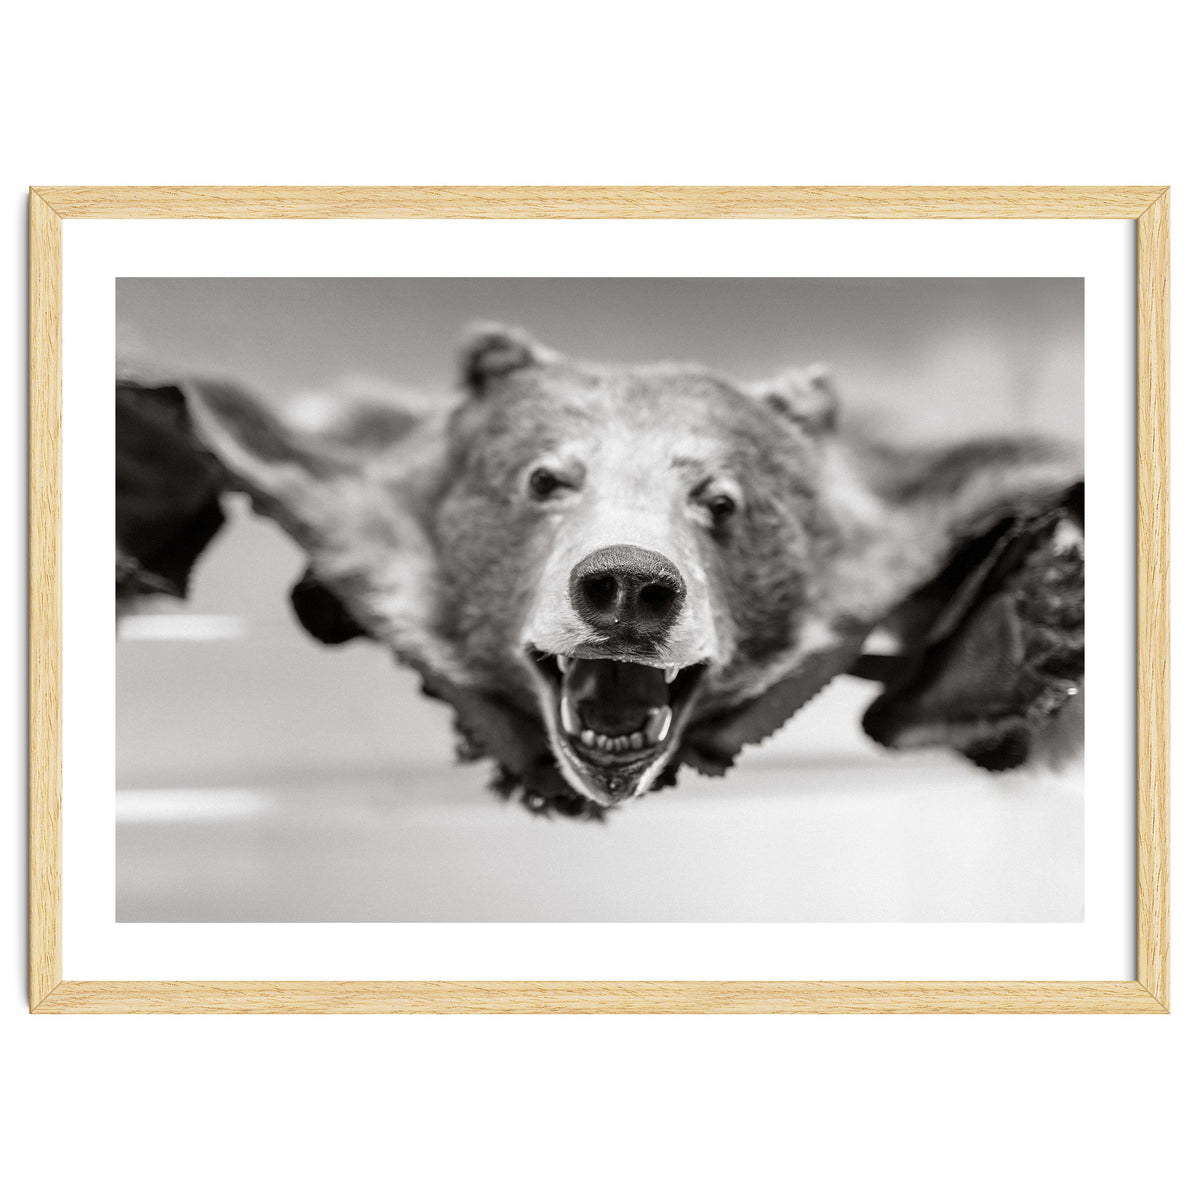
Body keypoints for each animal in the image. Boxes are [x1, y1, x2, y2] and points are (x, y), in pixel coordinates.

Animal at [116, 326, 1084, 817]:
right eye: (546, 478)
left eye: (721, 498)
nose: (628, 585)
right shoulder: (330, 495)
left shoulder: (912, 522)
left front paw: (1046, 619)